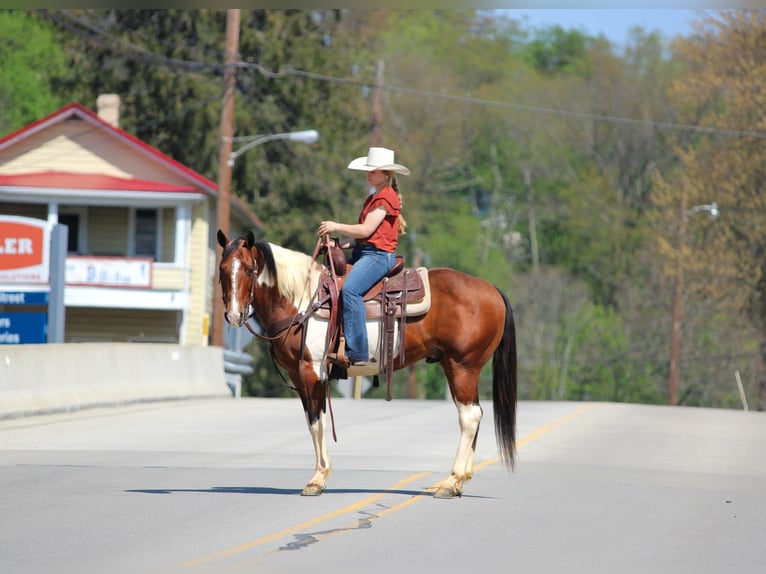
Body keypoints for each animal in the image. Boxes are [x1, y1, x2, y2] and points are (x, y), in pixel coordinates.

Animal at [216, 229, 517, 498]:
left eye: (249, 270)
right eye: (222, 269)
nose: (233, 315)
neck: (300, 302)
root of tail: (492, 290)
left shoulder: (312, 372)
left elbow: (316, 423)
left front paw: (316, 480)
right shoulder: (302, 377)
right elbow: (315, 421)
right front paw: (320, 476)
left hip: (462, 366)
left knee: (470, 416)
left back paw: (451, 482)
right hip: (455, 366)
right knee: (473, 414)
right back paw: (460, 481)